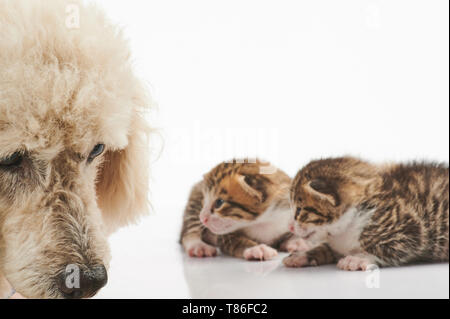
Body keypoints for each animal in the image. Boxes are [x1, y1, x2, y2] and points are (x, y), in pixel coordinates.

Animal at [179, 159, 310, 262]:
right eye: (204, 200)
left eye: (219, 202)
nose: (203, 218)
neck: (262, 220)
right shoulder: (225, 236)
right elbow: (238, 242)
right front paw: (256, 248)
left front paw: (297, 242)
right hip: (194, 203)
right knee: (189, 230)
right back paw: (198, 246)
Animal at [284, 157, 448, 270]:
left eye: (299, 210)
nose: (290, 227)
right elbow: (325, 248)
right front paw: (302, 255)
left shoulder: (412, 228)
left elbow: (390, 248)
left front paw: (359, 258)